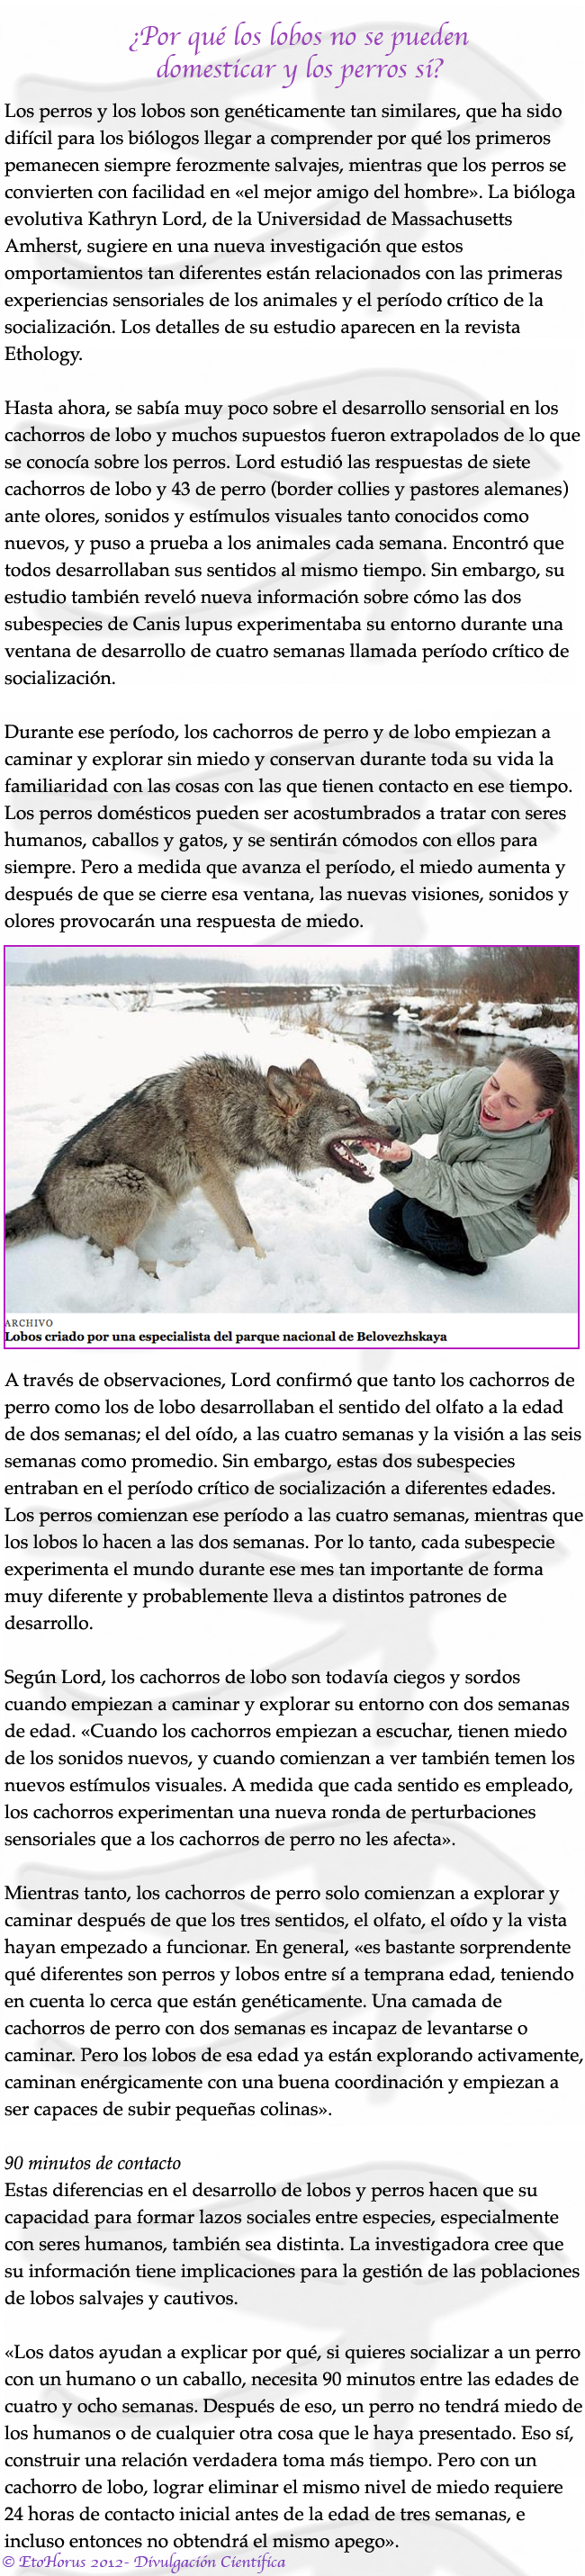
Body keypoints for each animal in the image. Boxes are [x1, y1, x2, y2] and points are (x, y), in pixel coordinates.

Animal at [5, 1054, 395, 1276]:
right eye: (347, 1113)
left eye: (358, 1108)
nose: (393, 1130)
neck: (241, 1113)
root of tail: (42, 1202)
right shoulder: (215, 1179)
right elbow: (244, 1229)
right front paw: (261, 1264)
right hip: (137, 1184)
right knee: (121, 1259)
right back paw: (178, 1267)